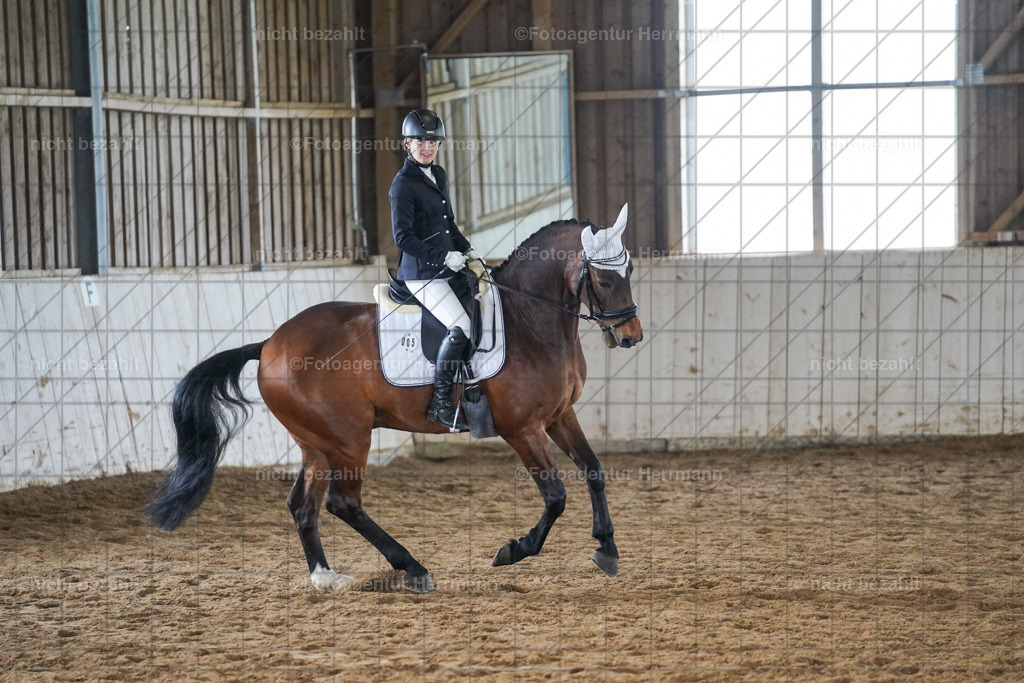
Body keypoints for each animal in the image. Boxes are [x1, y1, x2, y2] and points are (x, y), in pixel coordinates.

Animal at [146, 204, 644, 593]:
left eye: (630, 271)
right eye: (602, 279)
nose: (631, 337)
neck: (529, 318)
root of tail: (269, 344)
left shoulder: (559, 416)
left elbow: (595, 471)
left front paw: (607, 548)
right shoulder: (522, 428)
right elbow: (556, 496)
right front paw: (514, 549)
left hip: (317, 443)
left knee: (302, 504)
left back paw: (326, 576)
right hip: (349, 439)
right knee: (342, 504)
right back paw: (412, 567)